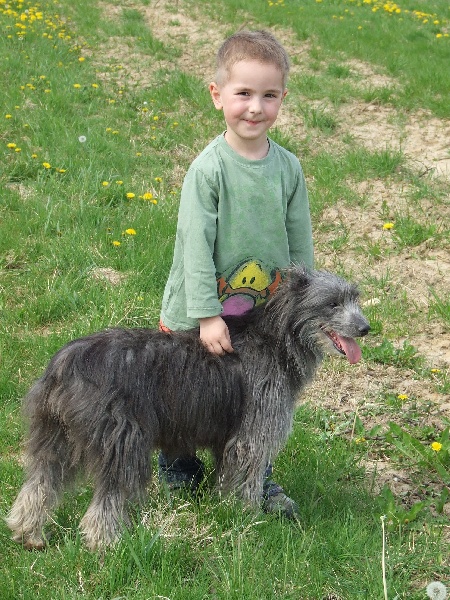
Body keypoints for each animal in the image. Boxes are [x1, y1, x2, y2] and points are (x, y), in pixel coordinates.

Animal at [5, 268, 370, 548]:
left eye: (354, 298)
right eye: (332, 303)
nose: (366, 328)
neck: (276, 340)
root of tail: (64, 364)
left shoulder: (229, 442)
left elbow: (228, 479)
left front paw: (228, 510)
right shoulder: (251, 437)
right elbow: (248, 482)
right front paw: (250, 520)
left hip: (56, 439)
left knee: (38, 485)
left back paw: (28, 534)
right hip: (123, 441)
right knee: (107, 497)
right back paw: (107, 544)